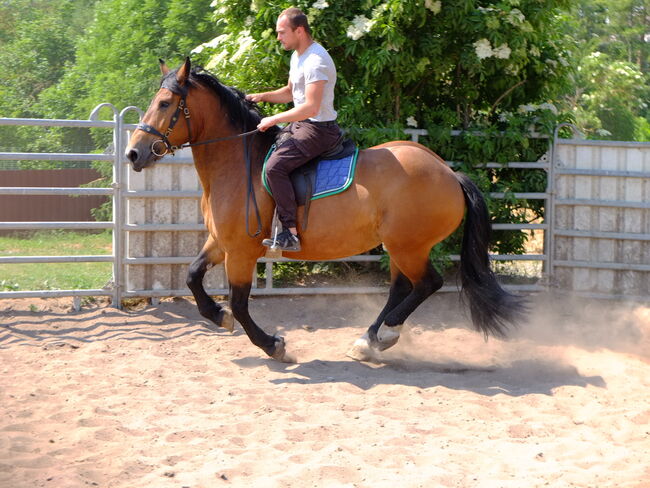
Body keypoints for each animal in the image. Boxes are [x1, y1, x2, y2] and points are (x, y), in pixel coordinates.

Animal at [124, 58, 524, 362]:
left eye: (164, 103)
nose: (133, 153)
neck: (239, 164)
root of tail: (449, 173)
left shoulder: (240, 251)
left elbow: (238, 303)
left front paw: (273, 345)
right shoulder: (220, 243)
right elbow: (193, 277)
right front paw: (218, 317)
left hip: (408, 246)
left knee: (427, 283)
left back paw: (384, 334)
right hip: (401, 247)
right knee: (401, 288)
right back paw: (369, 340)